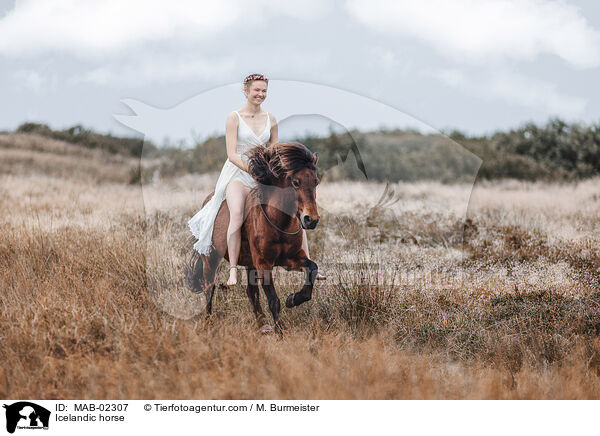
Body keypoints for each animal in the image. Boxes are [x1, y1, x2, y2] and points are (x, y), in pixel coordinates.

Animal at [188, 141, 322, 332]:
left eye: (316, 182)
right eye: (296, 182)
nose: (311, 220)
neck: (279, 222)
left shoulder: (290, 260)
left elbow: (312, 270)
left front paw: (293, 299)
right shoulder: (264, 265)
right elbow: (274, 301)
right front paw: (281, 333)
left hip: (249, 263)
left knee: (251, 293)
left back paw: (262, 325)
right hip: (210, 259)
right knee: (209, 289)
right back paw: (208, 323)